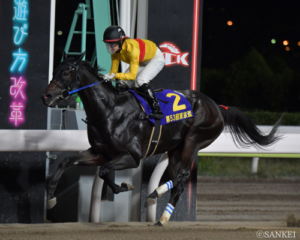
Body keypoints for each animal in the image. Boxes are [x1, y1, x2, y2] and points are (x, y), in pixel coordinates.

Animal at [41, 51, 282, 226]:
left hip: (194, 139)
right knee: (178, 180)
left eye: (66, 72)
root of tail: (217, 107)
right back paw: (160, 210)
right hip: (175, 149)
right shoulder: (99, 153)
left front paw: (123, 187)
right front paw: (51, 197)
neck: (109, 110)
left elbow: (105, 171)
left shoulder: (132, 156)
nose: (46, 96)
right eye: (55, 69)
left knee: (183, 176)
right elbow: (67, 161)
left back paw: (158, 199)